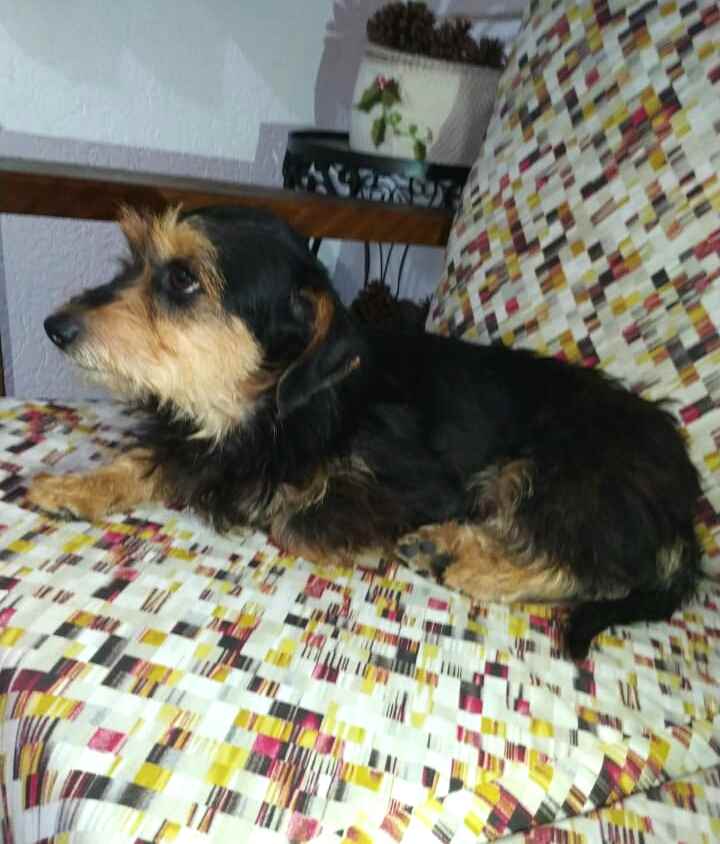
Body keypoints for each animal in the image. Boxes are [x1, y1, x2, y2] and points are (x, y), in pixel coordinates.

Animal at [29, 205, 702, 659]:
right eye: (134, 260)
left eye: (184, 278)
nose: (53, 326)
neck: (281, 402)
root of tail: (686, 507)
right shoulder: (204, 443)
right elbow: (141, 461)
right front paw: (74, 486)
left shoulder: (425, 485)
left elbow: (293, 517)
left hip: (559, 471)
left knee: (595, 566)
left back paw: (464, 559)